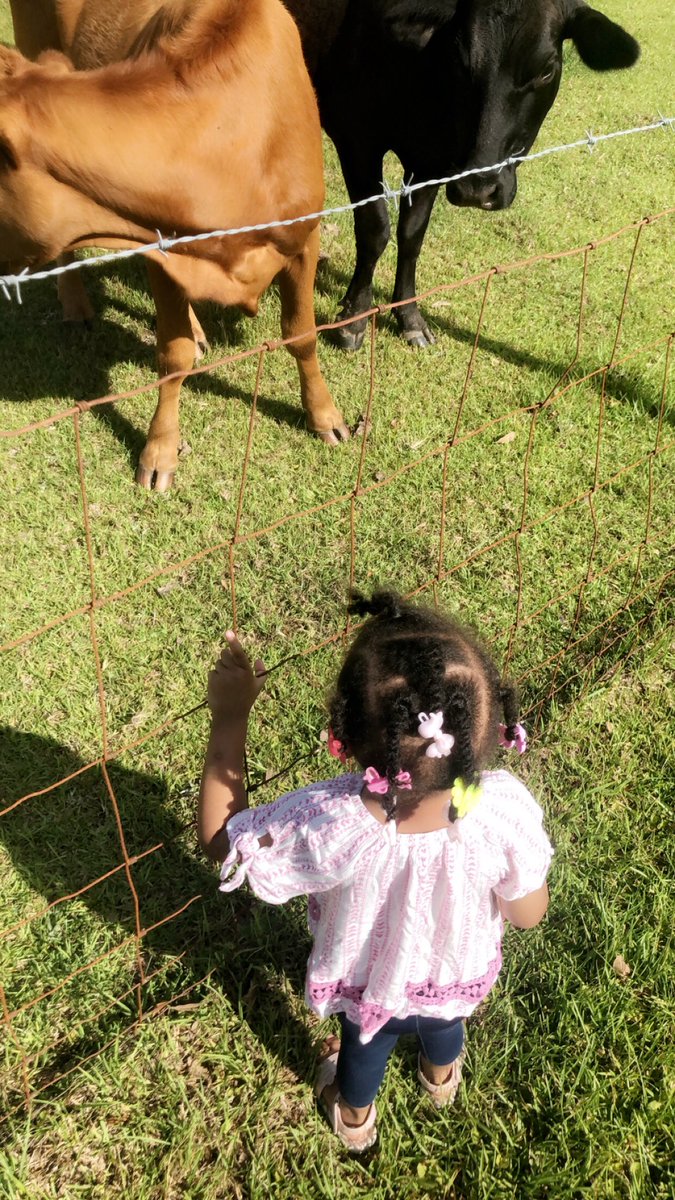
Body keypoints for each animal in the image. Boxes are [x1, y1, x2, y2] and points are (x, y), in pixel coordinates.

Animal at [0, 0, 349, 491]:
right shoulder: (160, 254)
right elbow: (172, 355)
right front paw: (160, 450)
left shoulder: (305, 236)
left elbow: (301, 335)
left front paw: (324, 416)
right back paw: (76, 305)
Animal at [283, 0, 641, 349]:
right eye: (459, 61)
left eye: (546, 70)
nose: (477, 188)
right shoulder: (357, 139)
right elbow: (375, 230)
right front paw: (354, 319)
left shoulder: (432, 161)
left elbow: (412, 234)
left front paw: (410, 318)